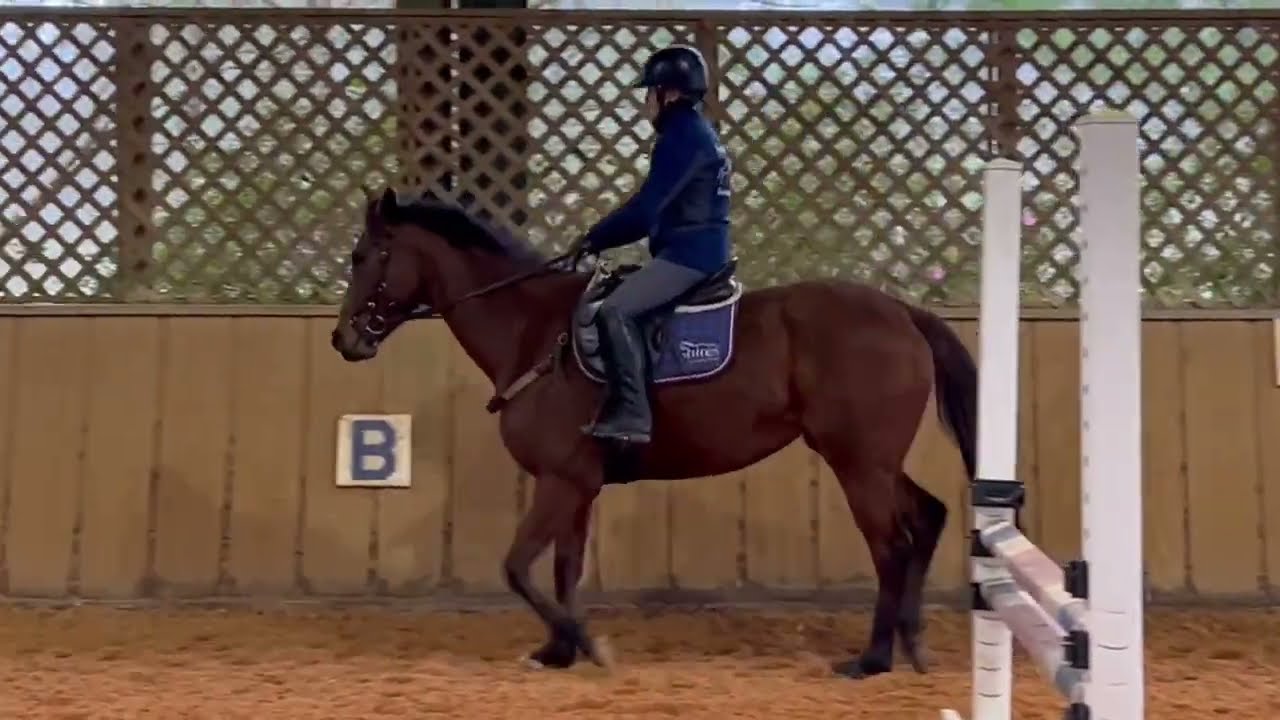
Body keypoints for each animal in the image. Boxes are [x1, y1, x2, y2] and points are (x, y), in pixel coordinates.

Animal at [331, 187, 978, 679]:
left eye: (367, 254)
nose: (345, 339)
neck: (535, 331)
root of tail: (900, 312)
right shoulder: (577, 484)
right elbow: (563, 568)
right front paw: (559, 650)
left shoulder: (560, 480)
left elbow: (517, 566)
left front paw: (588, 645)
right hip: (874, 462)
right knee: (928, 518)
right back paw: (913, 645)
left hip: (858, 463)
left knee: (892, 546)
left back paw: (872, 659)